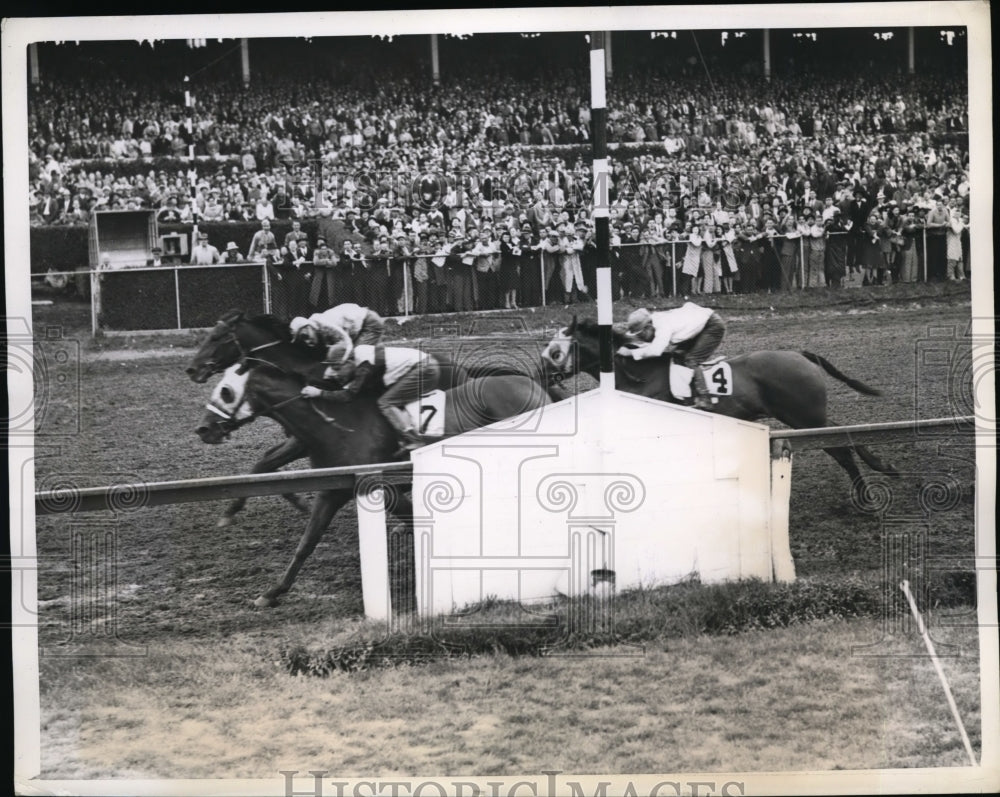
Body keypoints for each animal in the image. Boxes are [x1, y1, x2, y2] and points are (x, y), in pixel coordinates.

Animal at [184, 310, 552, 604]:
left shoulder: (378, 485)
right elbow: (304, 537)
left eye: (226, 391)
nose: (203, 429)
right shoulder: (329, 488)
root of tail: (534, 388)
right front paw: (272, 591)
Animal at [544, 316, 904, 488]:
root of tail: (800, 354)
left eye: (557, 349)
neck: (638, 374)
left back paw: (867, 498)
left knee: (841, 450)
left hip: (802, 416)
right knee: (844, 432)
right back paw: (884, 467)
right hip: (808, 416)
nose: (545, 370)